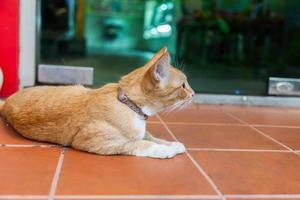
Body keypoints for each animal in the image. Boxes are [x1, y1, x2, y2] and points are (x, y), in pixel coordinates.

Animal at [0, 47, 195, 159]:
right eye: (183, 85)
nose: (194, 93)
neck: (127, 103)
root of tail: (8, 100)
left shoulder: (141, 132)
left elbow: (151, 137)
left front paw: (171, 144)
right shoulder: (91, 141)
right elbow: (138, 144)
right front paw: (163, 150)